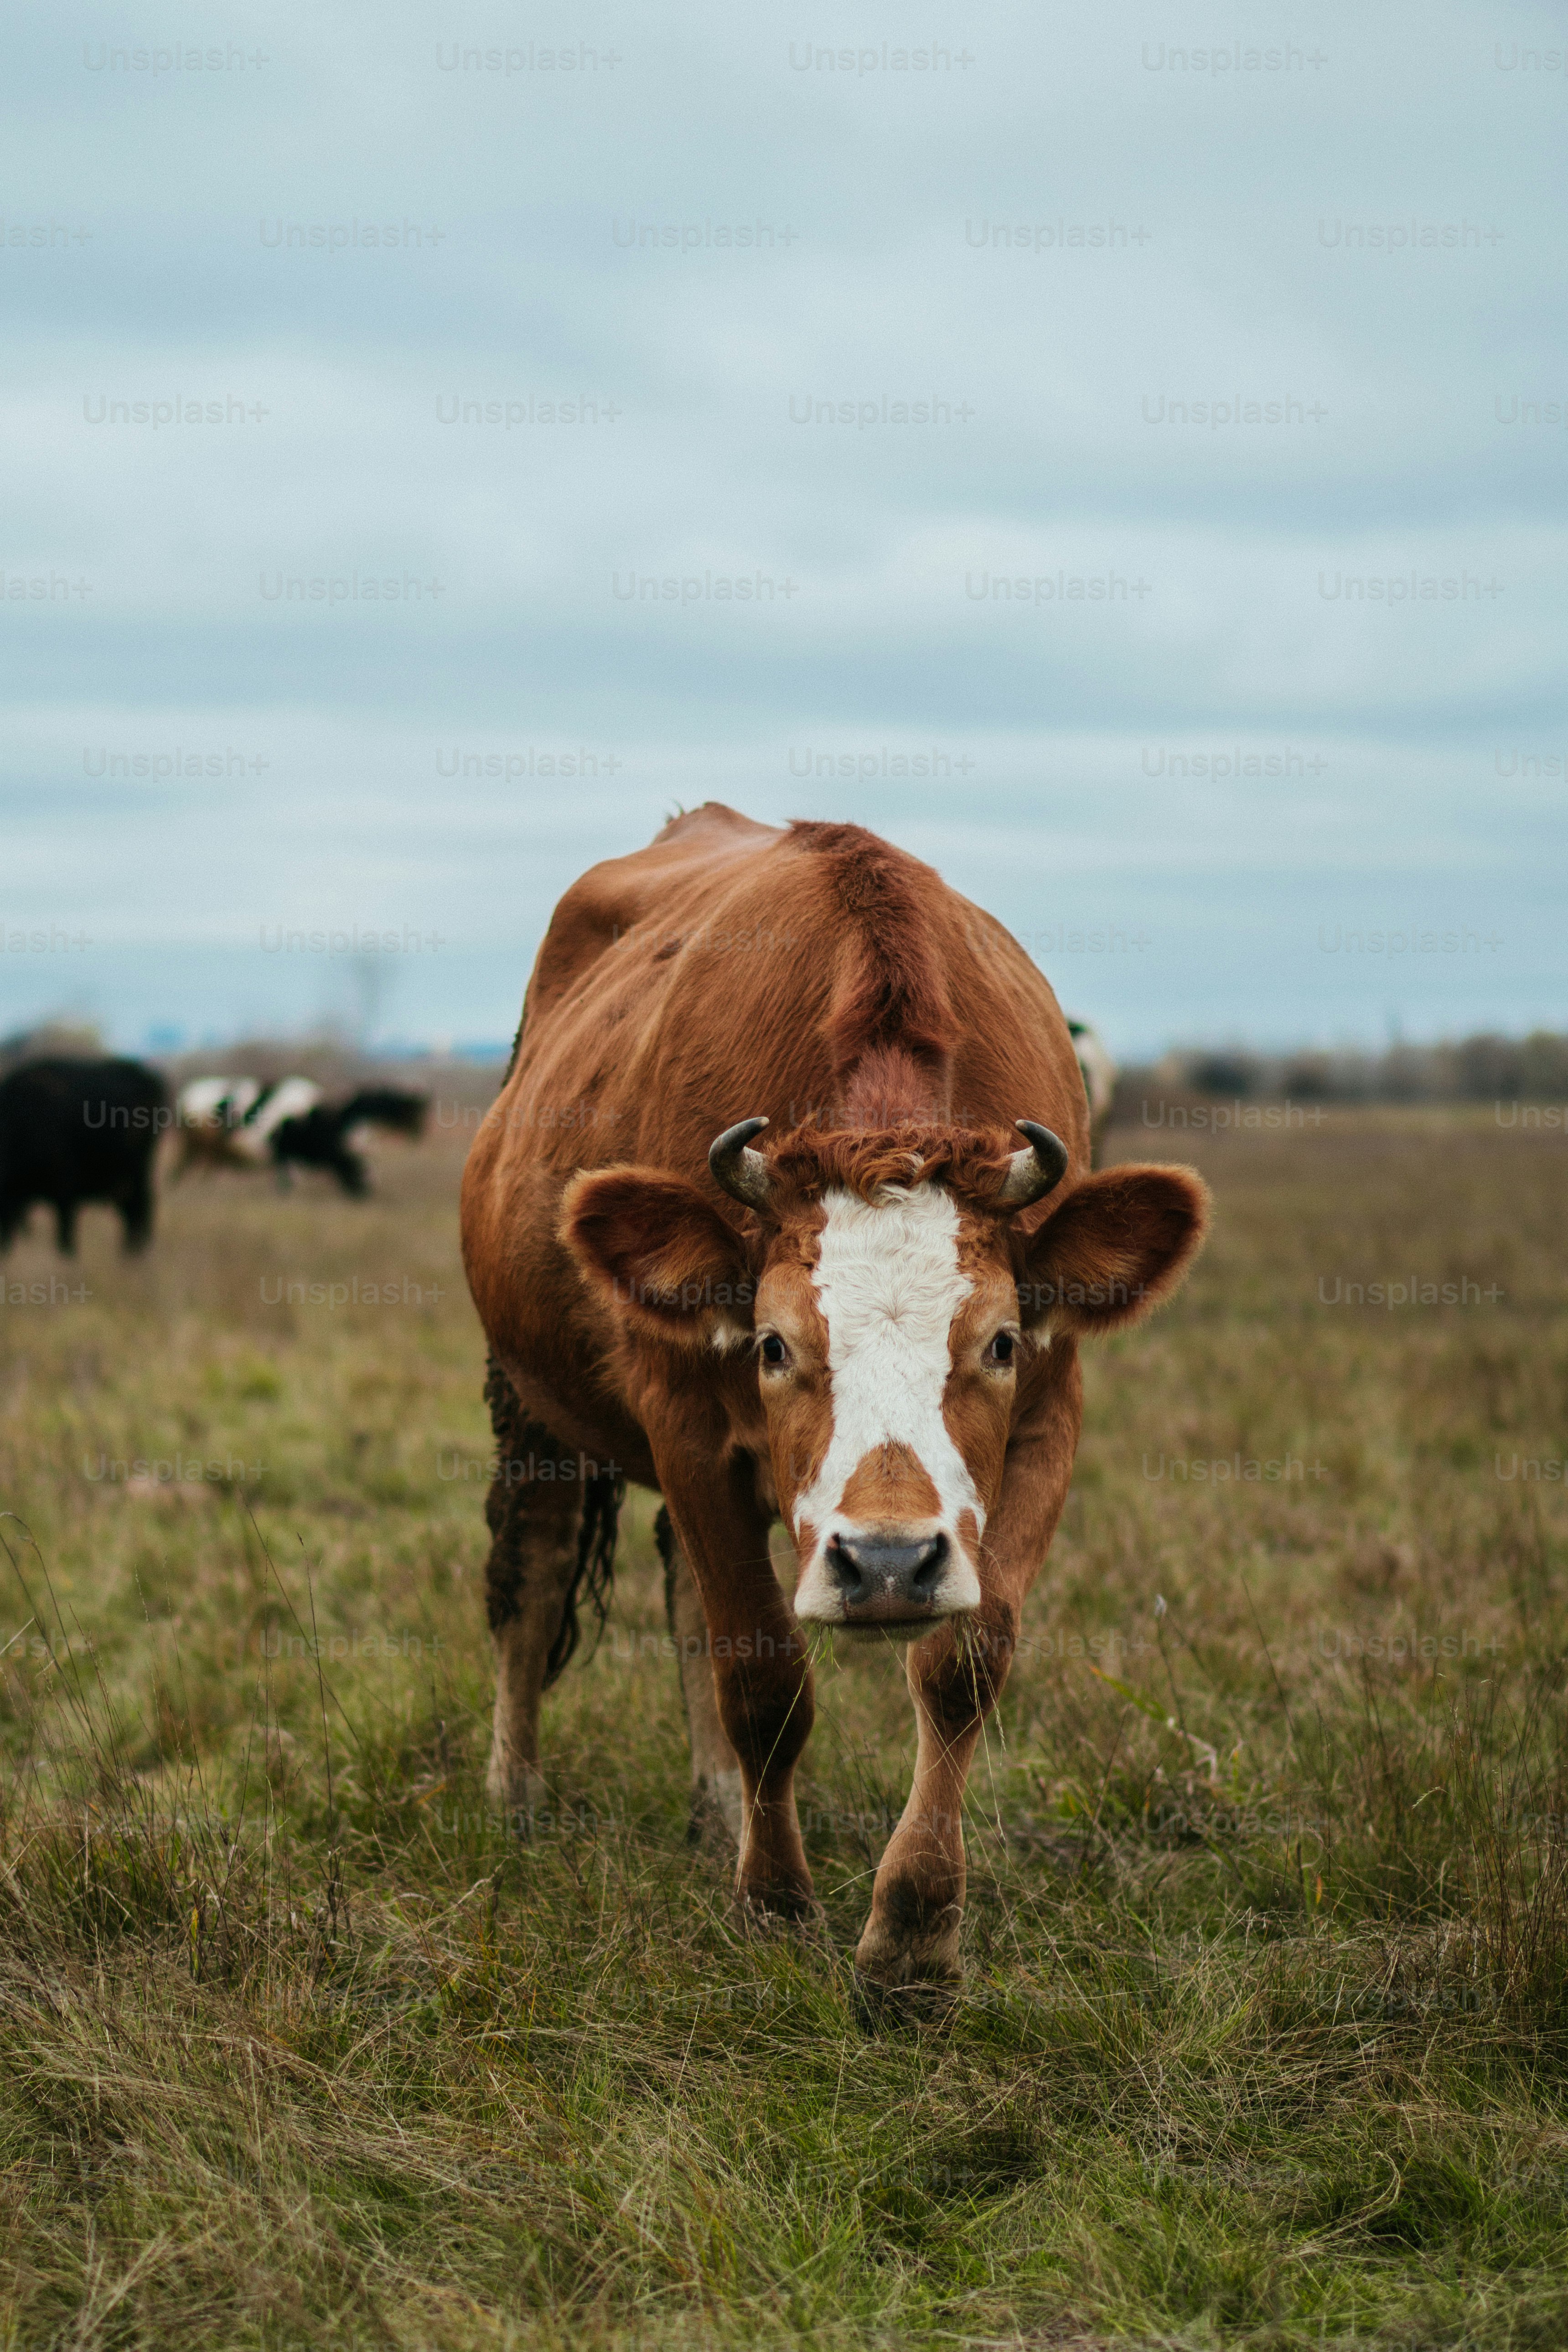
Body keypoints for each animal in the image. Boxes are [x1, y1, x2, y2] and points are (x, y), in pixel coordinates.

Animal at [0, 1056, 171, 1255]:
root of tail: (148, 1078)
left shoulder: (65, 1192)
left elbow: (65, 1238)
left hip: (136, 1171)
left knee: (141, 1205)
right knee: (133, 1209)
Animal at [460, 807, 1208, 1997]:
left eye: (999, 1342)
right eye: (775, 1344)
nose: (890, 1561)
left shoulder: (1049, 1420)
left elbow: (963, 1664)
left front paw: (912, 1933)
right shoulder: (685, 1419)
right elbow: (763, 1675)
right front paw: (774, 1905)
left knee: (684, 1596)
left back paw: (717, 1807)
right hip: (529, 1403)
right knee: (531, 1571)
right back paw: (518, 1794)